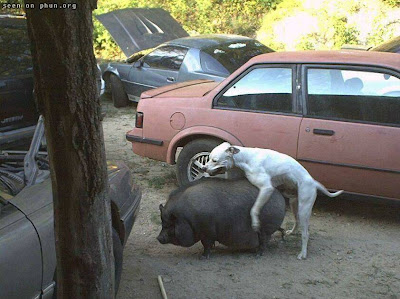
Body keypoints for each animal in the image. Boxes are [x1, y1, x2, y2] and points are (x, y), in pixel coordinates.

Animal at [156, 179, 284, 258]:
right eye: (162, 223)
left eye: (170, 224)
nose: (158, 237)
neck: (186, 218)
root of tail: (280, 198)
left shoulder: (206, 232)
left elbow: (206, 245)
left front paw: (203, 257)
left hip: (265, 230)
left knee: (263, 242)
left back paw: (257, 255)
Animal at [203, 143, 344, 260]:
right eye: (208, 158)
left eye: (214, 160)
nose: (203, 168)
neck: (246, 158)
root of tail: (313, 182)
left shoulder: (267, 188)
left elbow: (254, 209)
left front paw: (255, 223)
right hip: (294, 204)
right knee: (297, 221)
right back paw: (291, 232)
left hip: (304, 208)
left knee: (306, 233)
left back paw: (302, 253)